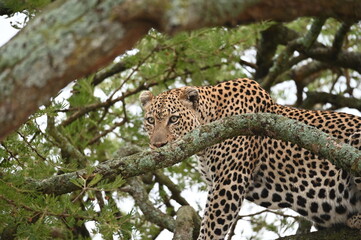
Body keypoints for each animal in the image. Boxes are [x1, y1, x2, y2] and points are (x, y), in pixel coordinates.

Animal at [139, 78, 360, 239]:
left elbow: (212, 227)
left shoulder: (229, 179)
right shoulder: (215, 182)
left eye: (173, 119)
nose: (158, 145)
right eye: (150, 120)